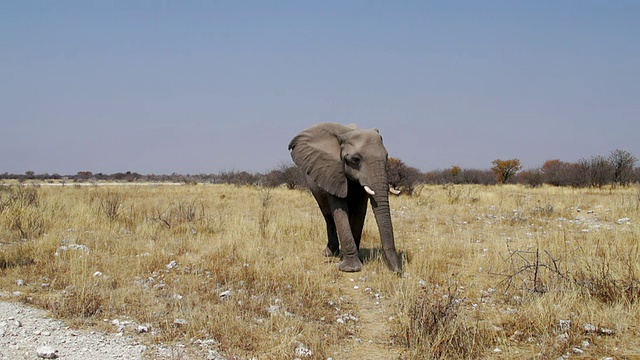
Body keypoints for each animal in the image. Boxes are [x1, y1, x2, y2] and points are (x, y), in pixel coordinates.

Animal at [288, 122, 402, 272]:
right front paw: (351, 268)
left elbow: (360, 211)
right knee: (328, 216)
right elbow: (340, 210)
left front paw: (353, 259)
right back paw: (330, 253)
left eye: (387, 156)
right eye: (356, 159)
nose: (398, 271)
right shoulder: (332, 173)